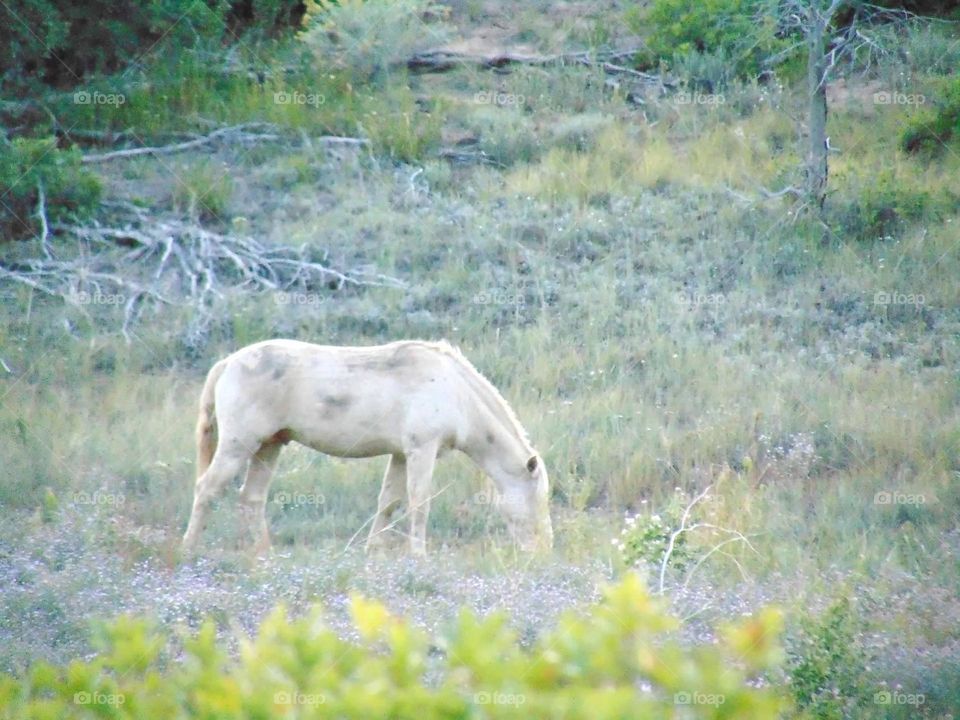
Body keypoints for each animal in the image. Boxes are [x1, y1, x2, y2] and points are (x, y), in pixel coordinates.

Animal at [181, 338, 556, 556]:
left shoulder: (401, 454)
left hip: (269, 445)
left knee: (251, 499)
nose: (543, 550)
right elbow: (419, 503)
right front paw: (418, 556)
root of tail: (227, 363)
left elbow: (388, 503)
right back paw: (189, 550)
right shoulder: (421, 450)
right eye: (537, 503)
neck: (457, 392)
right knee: (206, 489)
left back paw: (264, 555)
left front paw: (373, 551)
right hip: (238, 445)